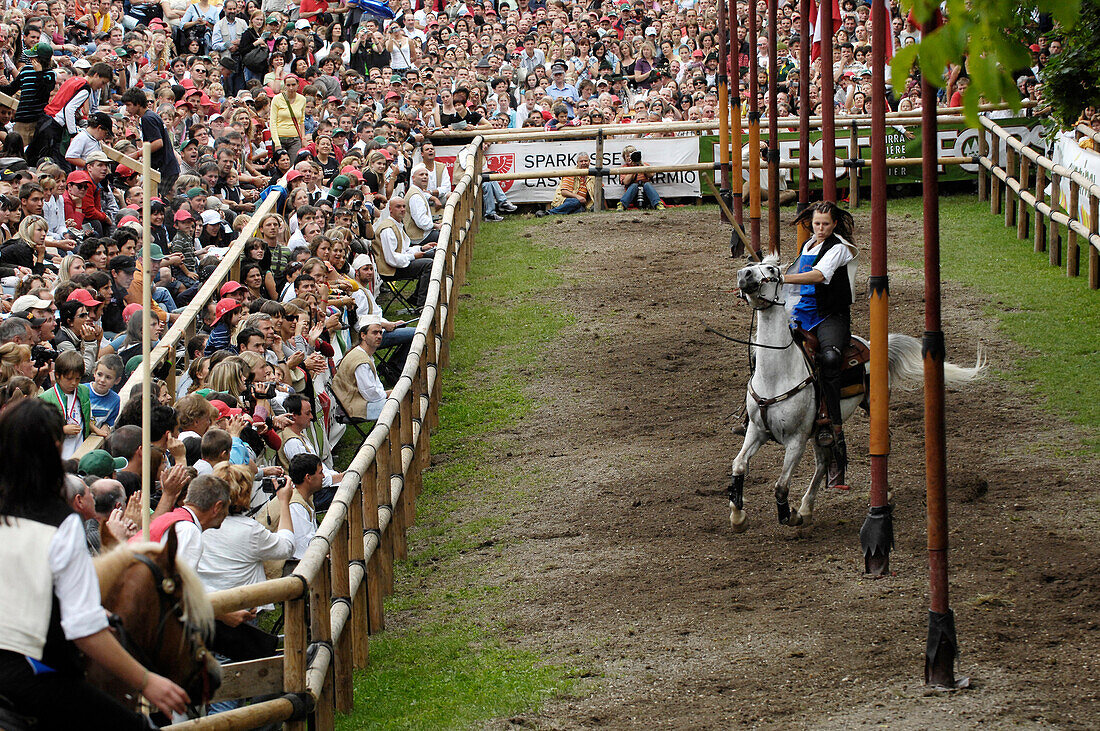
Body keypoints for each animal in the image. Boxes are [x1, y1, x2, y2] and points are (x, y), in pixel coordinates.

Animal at [730, 255, 990, 529]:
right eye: (751, 266)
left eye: (770, 269)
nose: (744, 275)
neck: (778, 373)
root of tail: (872, 345)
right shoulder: (757, 430)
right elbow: (739, 465)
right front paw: (738, 516)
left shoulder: (796, 440)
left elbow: (780, 486)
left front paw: (789, 515)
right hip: (821, 430)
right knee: (823, 462)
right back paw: (807, 507)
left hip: (870, 407)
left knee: (881, 443)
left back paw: (884, 494)